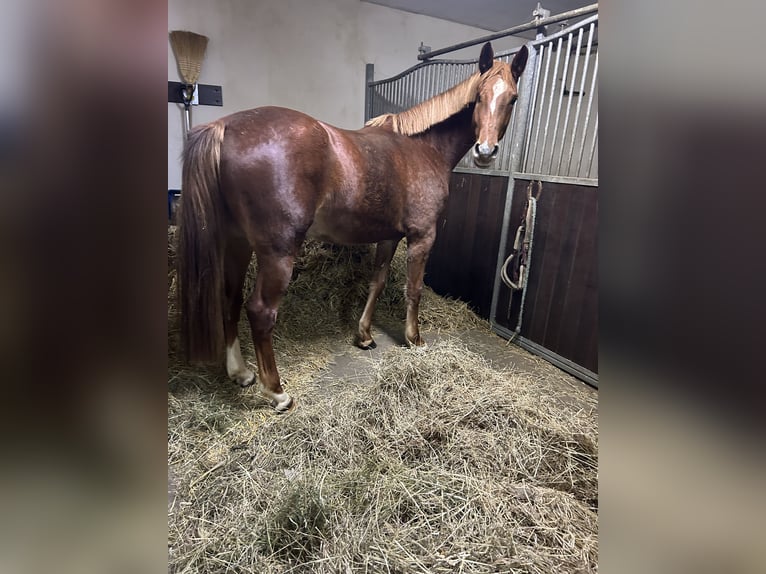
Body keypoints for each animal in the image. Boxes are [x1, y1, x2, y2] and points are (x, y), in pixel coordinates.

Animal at [177, 42, 528, 411]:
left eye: (512, 98)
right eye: (479, 96)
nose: (486, 151)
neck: (422, 148)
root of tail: (225, 127)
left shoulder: (389, 237)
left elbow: (377, 282)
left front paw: (365, 336)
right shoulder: (422, 236)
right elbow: (414, 289)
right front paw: (414, 339)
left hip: (237, 243)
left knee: (229, 297)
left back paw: (240, 372)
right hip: (277, 252)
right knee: (259, 312)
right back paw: (277, 392)